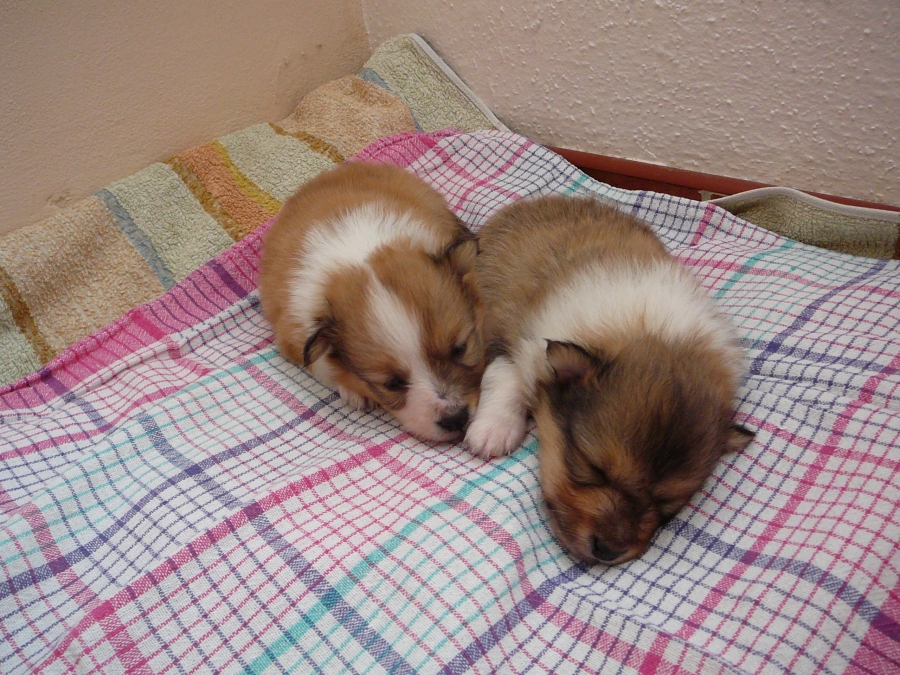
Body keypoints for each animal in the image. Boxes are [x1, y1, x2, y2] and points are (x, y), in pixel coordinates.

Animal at [259, 162, 484, 442]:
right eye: (392, 383)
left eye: (460, 349)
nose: (456, 419)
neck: (358, 260)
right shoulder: (296, 336)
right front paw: (353, 391)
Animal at [466, 195, 754, 565]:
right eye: (594, 469)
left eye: (666, 503)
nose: (608, 551)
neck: (649, 328)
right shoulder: (508, 333)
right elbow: (504, 376)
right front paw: (493, 431)